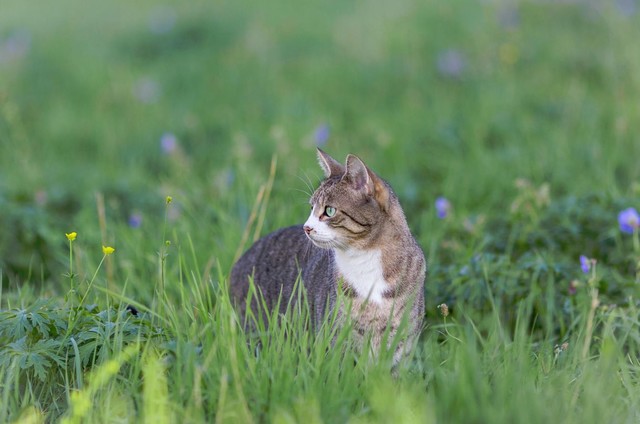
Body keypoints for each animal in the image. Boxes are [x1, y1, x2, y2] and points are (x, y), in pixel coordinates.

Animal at [230, 148, 424, 364]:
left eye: (329, 210)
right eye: (311, 208)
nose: (306, 227)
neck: (364, 259)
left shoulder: (402, 342)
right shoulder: (337, 337)